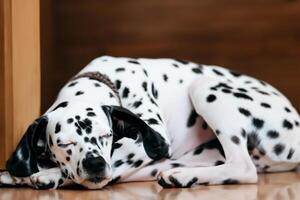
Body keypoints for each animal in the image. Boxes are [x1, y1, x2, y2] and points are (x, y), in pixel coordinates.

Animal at [0, 55, 300, 189]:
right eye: (65, 143)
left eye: (107, 135)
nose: (95, 164)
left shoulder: (147, 142)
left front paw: (48, 174)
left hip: (205, 86)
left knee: (243, 168)